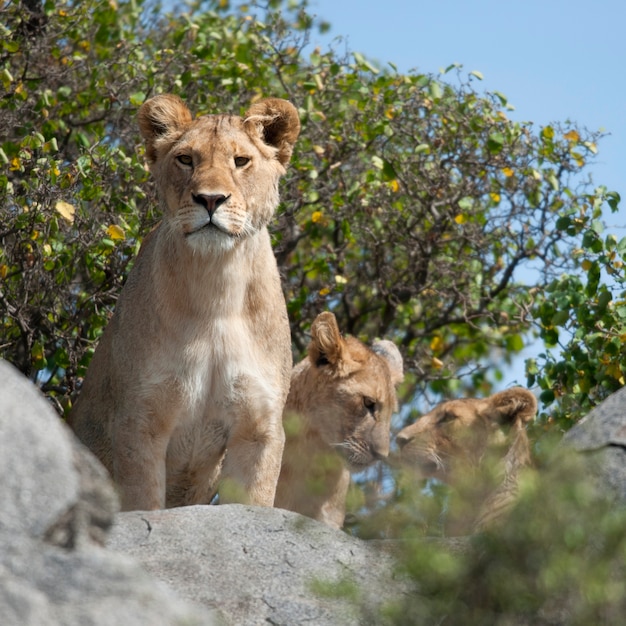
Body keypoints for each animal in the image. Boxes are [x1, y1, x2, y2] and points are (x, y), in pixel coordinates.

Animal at [70, 94, 300, 512]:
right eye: (186, 159)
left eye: (241, 160)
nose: (210, 199)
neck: (217, 289)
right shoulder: (140, 420)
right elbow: (143, 503)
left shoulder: (259, 428)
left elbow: (253, 504)